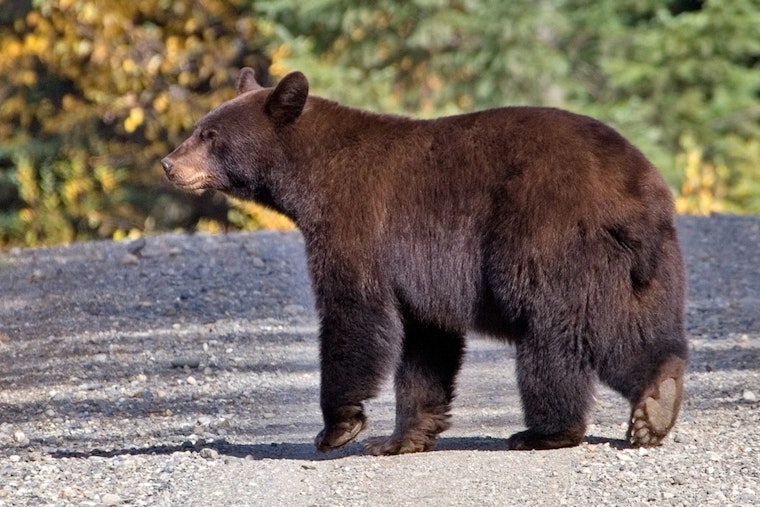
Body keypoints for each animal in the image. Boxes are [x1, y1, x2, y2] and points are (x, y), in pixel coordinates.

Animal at [162, 68, 688, 455]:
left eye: (209, 135)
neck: (308, 178)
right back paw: (656, 402)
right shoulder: (421, 273)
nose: (169, 164)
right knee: (634, 328)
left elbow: (354, 313)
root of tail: (635, 190)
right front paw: (401, 438)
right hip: (645, 266)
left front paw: (338, 428)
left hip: (549, 240)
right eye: (198, 129)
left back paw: (545, 431)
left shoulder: (356, 224)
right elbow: (425, 344)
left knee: (556, 334)